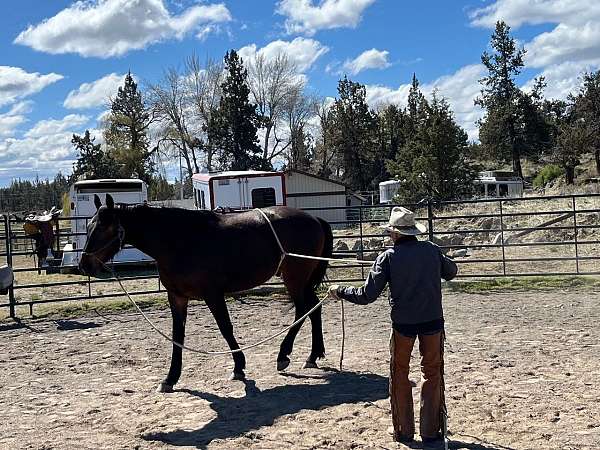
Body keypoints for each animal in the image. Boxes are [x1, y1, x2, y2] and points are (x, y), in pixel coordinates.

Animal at [77, 195, 332, 392]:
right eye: (88, 227)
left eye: (103, 227)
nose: (84, 265)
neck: (179, 241)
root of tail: (314, 219)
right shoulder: (177, 297)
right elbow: (177, 336)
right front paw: (170, 378)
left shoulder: (213, 295)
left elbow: (225, 328)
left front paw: (238, 367)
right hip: (301, 280)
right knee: (314, 307)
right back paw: (312, 355)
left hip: (295, 279)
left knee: (304, 309)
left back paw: (283, 355)